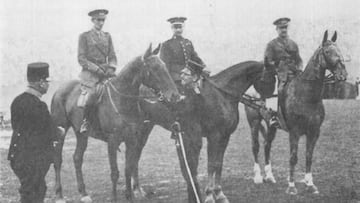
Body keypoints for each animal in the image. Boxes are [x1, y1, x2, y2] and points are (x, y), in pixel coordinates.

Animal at [49, 44, 181, 203]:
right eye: (155, 68)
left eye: (164, 66)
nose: (175, 96)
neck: (122, 101)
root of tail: (58, 90)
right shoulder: (112, 141)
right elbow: (115, 172)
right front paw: (114, 198)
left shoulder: (131, 140)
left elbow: (128, 168)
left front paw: (130, 196)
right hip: (60, 132)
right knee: (57, 160)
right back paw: (59, 195)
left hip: (81, 134)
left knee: (77, 158)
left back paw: (84, 193)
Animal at [126, 60, 264, 203]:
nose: (264, 106)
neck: (221, 95)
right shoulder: (214, 136)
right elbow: (211, 165)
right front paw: (209, 195)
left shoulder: (225, 137)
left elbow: (218, 164)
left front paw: (220, 194)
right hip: (140, 129)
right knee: (134, 155)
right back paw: (136, 191)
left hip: (146, 128)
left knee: (136, 155)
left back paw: (138, 190)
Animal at [243, 30, 348, 195]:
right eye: (327, 51)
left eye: (339, 49)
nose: (343, 74)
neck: (306, 95)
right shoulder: (295, 132)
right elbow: (293, 157)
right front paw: (291, 186)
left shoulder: (314, 132)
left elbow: (309, 156)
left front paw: (310, 184)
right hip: (254, 122)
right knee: (256, 146)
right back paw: (258, 177)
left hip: (271, 125)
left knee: (267, 145)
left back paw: (270, 176)